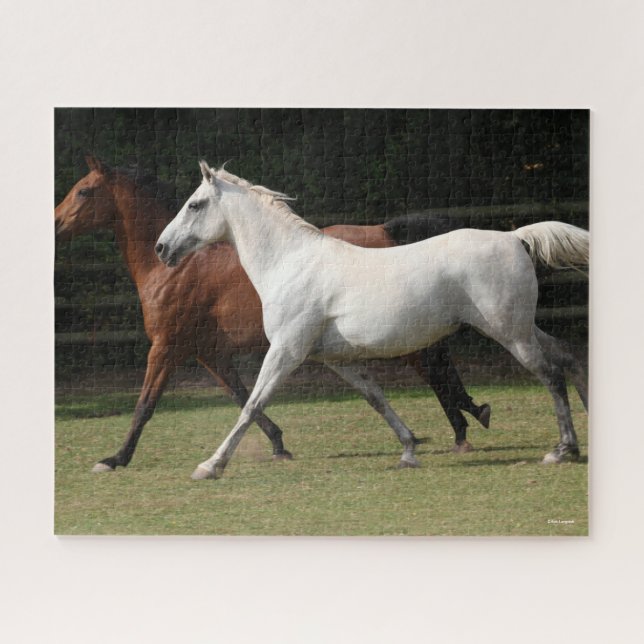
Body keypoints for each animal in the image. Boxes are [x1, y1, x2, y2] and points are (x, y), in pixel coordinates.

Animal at [55, 156, 490, 472]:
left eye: (84, 191)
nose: (56, 223)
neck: (172, 272)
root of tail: (384, 229)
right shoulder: (208, 353)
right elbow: (243, 395)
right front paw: (278, 444)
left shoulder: (166, 347)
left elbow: (147, 405)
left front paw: (115, 459)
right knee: (437, 368)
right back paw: (465, 422)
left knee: (435, 368)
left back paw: (463, 429)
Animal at [155, 161, 589, 480]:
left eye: (195, 204)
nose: (162, 248)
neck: (291, 263)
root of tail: (514, 237)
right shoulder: (338, 360)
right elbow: (377, 399)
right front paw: (409, 450)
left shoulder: (286, 351)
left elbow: (252, 405)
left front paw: (210, 466)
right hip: (523, 328)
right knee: (569, 357)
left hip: (509, 333)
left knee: (551, 375)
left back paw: (562, 450)